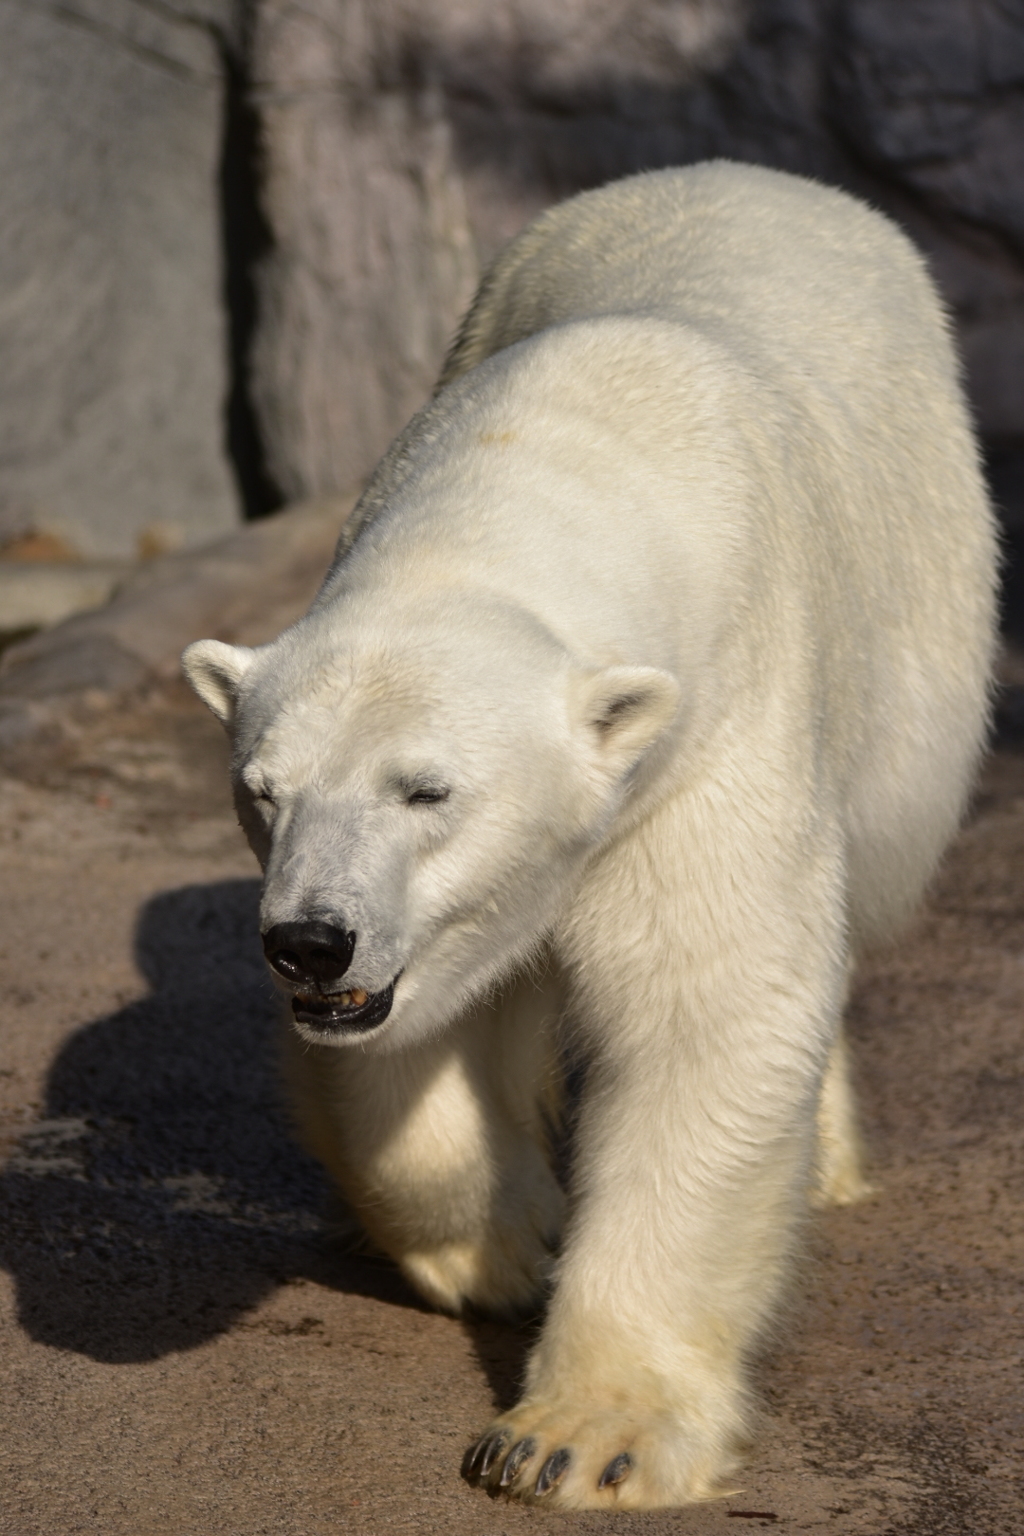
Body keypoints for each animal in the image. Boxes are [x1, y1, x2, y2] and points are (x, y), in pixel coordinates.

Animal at [180, 165, 994, 1511]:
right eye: (263, 789)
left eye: (428, 791)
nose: (309, 942)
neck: (552, 467)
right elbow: (413, 1043)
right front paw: (509, 1241)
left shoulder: (709, 730)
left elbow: (708, 1010)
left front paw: (573, 1439)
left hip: (923, 627)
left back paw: (825, 1155)